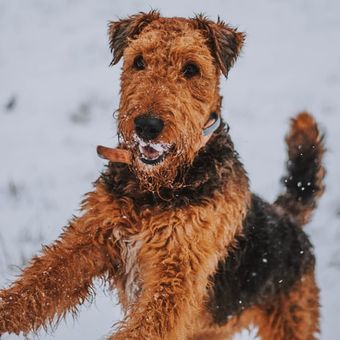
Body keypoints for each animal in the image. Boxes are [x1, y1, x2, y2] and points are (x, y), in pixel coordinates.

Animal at [0, 10, 324, 340]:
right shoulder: (91, 237)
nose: (147, 126)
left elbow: (147, 324)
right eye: (138, 61)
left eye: (191, 68)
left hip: (290, 317)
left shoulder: (176, 272)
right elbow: (39, 284)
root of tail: (287, 216)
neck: (155, 190)